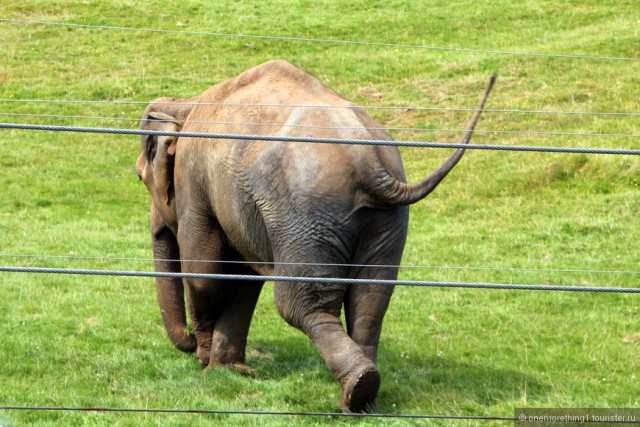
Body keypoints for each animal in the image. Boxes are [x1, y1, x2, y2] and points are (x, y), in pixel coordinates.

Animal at [136, 58, 496, 412]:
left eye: (140, 177)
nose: (189, 344)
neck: (187, 103)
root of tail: (365, 156)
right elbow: (243, 278)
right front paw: (229, 370)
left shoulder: (193, 182)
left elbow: (205, 275)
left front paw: (208, 363)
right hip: (382, 221)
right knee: (371, 299)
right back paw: (361, 397)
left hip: (305, 211)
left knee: (298, 303)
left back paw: (356, 389)